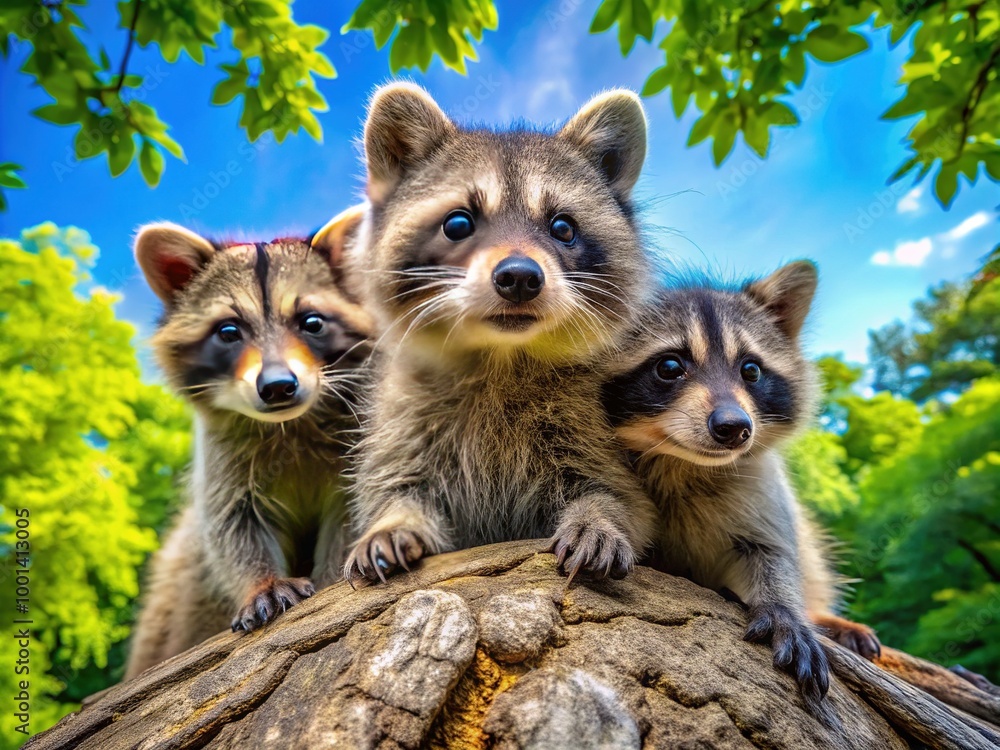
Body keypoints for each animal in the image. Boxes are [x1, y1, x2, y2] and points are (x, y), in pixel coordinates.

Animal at [126, 217, 371, 678]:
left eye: (312, 322)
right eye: (228, 331)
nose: (277, 387)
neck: (286, 424)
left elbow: (350, 513)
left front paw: (333, 574)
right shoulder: (222, 460)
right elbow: (233, 526)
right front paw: (261, 582)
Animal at [342, 83, 659, 583]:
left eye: (562, 227)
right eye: (458, 223)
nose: (520, 277)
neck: (501, 354)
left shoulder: (594, 422)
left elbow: (621, 496)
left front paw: (599, 517)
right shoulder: (404, 420)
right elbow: (399, 486)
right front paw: (393, 521)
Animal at [602, 261, 880, 701]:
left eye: (751, 370)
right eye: (669, 367)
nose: (734, 427)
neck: (685, 462)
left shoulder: (758, 484)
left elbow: (773, 554)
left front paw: (785, 607)